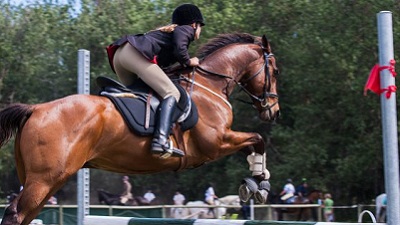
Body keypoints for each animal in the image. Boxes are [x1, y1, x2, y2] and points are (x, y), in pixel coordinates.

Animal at [0, 32, 278, 225]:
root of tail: (35, 109)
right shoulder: (216, 142)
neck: (209, 84)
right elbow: (258, 138)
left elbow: (253, 144)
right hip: (44, 180)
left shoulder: (222, 141)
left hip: (45, 181)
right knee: (16, 214)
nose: (273, 111)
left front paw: (257, 181)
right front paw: (258, 184)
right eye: (274, 70)